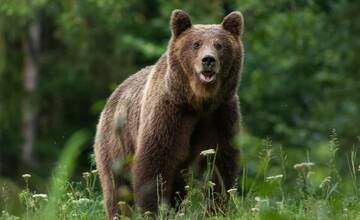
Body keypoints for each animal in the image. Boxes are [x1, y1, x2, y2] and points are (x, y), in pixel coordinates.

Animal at [93, 9, 245, 219]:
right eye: (196, 44)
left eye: (219, 45)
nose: (208, 60)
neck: (198, 102)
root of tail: (113, 95)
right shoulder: (169, 114)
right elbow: (155, 165)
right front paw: (155, 210)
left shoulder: (220, 115)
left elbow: (220, 166)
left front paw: (216, 209)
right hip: (116, 143)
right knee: (117, 189)